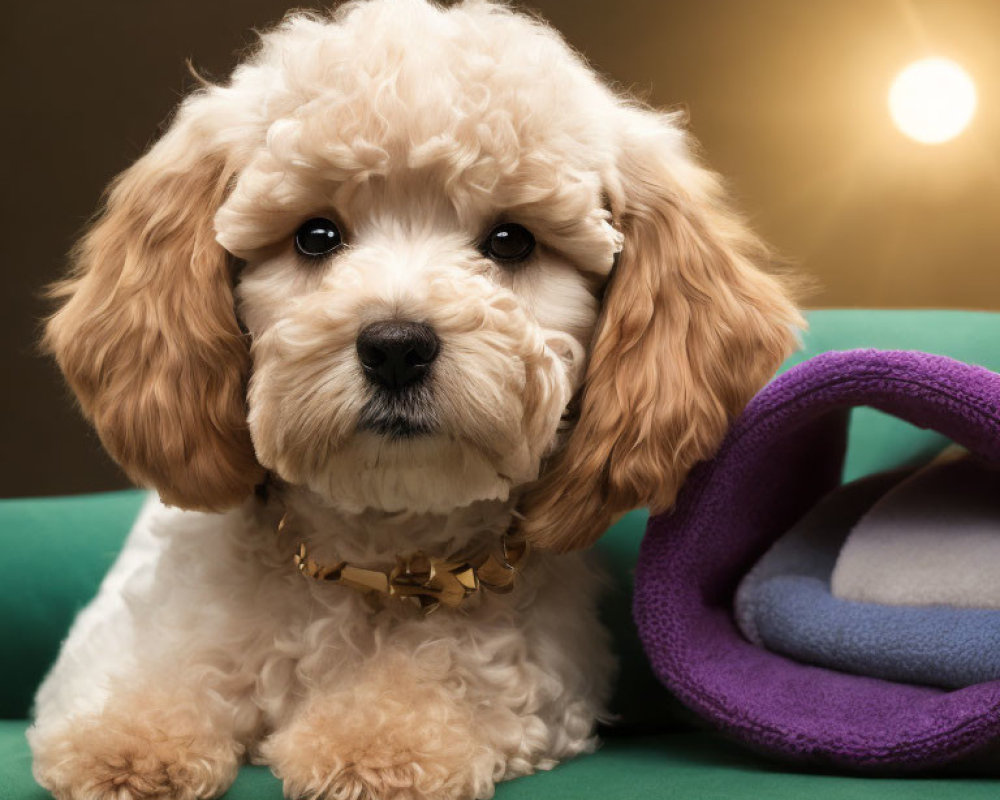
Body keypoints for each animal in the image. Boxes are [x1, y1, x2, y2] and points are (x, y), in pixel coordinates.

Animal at [27, 1, 800, 800]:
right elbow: (155, 674)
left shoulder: (543, 670)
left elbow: (446, 675)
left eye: (511, 240)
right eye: (315, 236)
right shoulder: (114, 644)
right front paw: (128, 740)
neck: (375, 553)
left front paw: (375, 740)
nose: (396, 345)